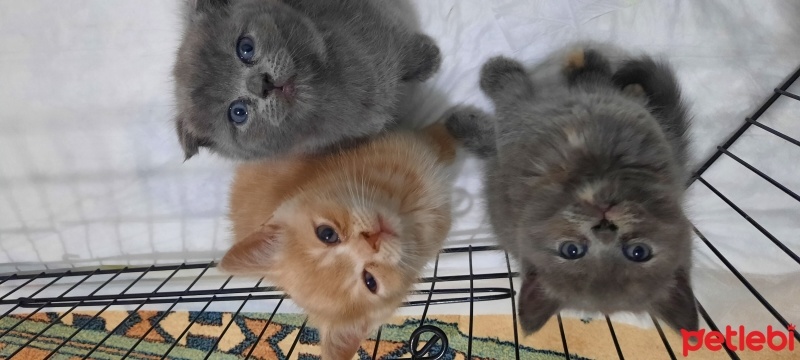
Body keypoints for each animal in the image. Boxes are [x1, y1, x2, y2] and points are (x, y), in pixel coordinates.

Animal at [173, 0, 444, 160]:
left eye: (245, 48)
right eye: (238, 112)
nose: (262, 84)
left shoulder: (375, 21)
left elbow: (402, 46)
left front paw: (430, 59)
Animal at [219, 124, 456, 360]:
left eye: (326, 234)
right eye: (370, 281)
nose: (372, 240)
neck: (404, 209)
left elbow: (437, 139)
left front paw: (448, 136)